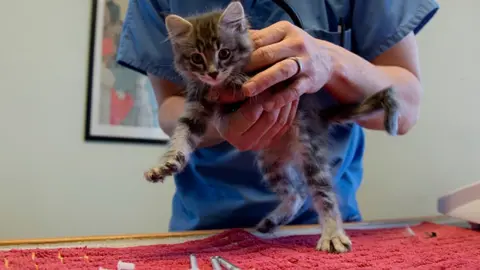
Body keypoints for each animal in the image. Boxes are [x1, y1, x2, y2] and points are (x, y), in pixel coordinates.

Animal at [144, 1, 400, 253]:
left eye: (224, 53)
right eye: (197, 58)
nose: (213, 73)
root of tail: (318, 117)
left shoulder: (277, 81)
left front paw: (239, 78)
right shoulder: (196, 108)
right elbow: (182, 137)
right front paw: (166, 165)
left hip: (308, 147)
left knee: (323, 192)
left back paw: (332, 233)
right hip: (270, 163)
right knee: (297, 193)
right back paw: (272, 221)